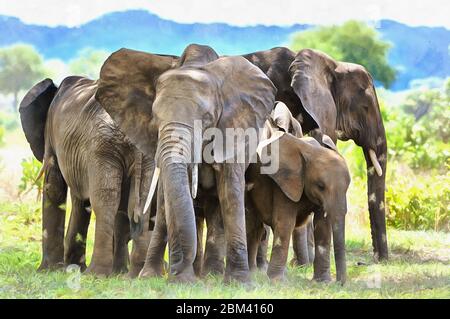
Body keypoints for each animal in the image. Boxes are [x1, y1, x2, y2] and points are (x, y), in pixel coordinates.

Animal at [96, 44, 276, 282]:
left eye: (207, 118)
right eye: (154, 118)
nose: (175, 269)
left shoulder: (233, 129)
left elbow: (229, 190)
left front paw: (238, 282)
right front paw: (182, 280)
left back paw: (211, 274)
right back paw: (156, 275)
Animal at [244, 102, 350, 282]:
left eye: (348, 187)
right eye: (320, 186)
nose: (340, 283)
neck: (312, 152)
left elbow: (322, 226)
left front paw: (323, 282)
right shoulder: (283, 183)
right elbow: (285, 223)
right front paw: (277, 282)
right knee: (254, 226)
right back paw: (252, 273)